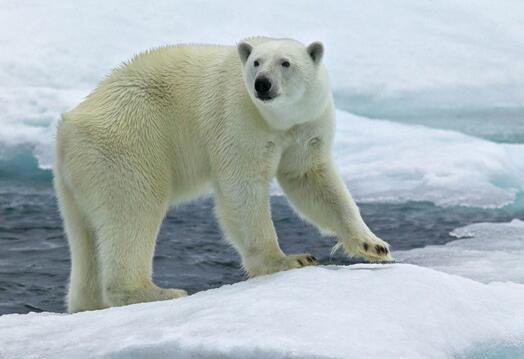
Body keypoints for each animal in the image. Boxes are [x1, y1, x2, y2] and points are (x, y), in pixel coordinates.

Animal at [53, 35, 390, 312]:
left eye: (286, 62)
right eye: (256, 63)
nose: (262, 84)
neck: (277, 120)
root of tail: (68, 128)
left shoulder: (306, 126)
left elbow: (311, 179)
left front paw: (374, 245)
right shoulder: (237, 116)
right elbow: (242, 185)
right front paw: (289, 259)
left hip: (77, 179)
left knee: (85, 236)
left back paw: (88, 303)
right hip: (130, 144)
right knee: (134, 210)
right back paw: (156, 292)